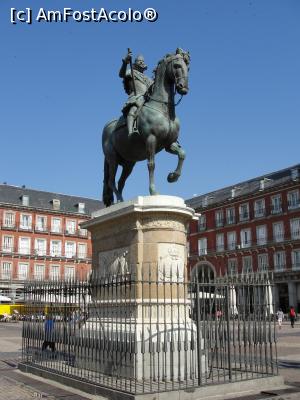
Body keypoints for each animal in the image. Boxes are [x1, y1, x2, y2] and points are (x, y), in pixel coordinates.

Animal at [102, 48, 189, 206]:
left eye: (188, 68)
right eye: (177, 66)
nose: (183, 88)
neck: (164, 110)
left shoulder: (169, 144)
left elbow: (182, 154)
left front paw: (172, 176)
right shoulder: (151, 140)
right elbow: (151, 164)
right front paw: (153, 191)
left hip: (128, 163)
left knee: (120, 182)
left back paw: (120, 201)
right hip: (112, 158)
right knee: (111, 181)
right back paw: (120, 200)